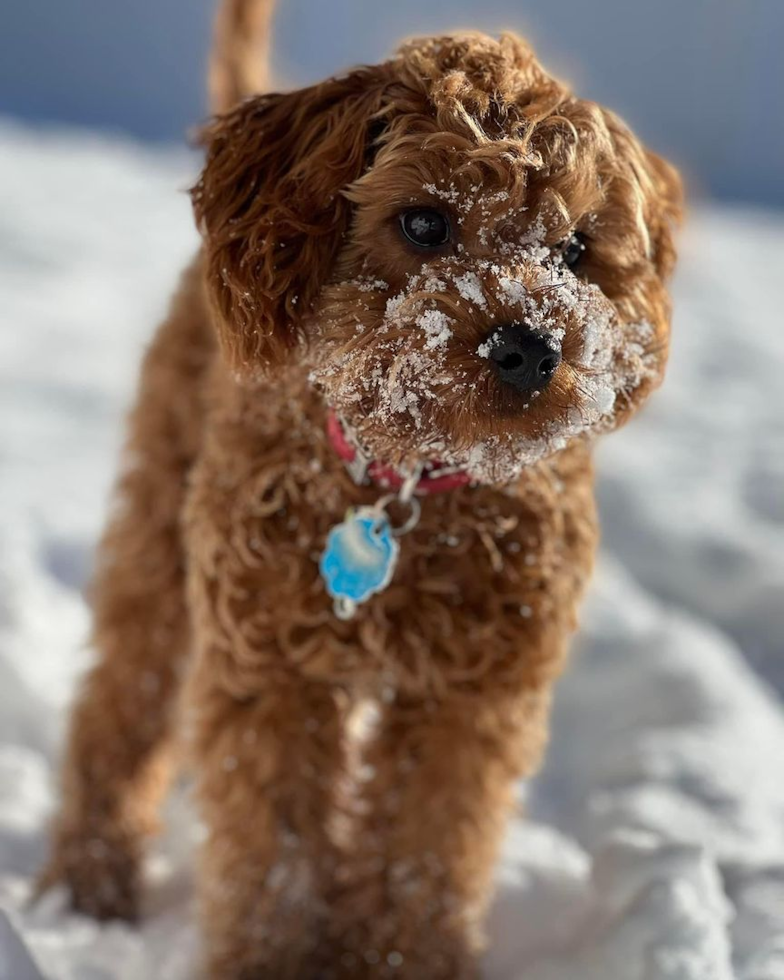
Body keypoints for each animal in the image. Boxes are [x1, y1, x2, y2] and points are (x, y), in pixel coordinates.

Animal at [39, 3, 684, 976]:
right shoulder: (274, 668)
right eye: (422, 222)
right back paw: (90, 881)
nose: (530, 347)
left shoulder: (472, 694)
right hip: (162, 526)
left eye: (576, 249)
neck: (407, 486)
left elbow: (426, 850)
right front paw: (275, 963)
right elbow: (277, 851)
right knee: (123, 698)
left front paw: (402, 960)